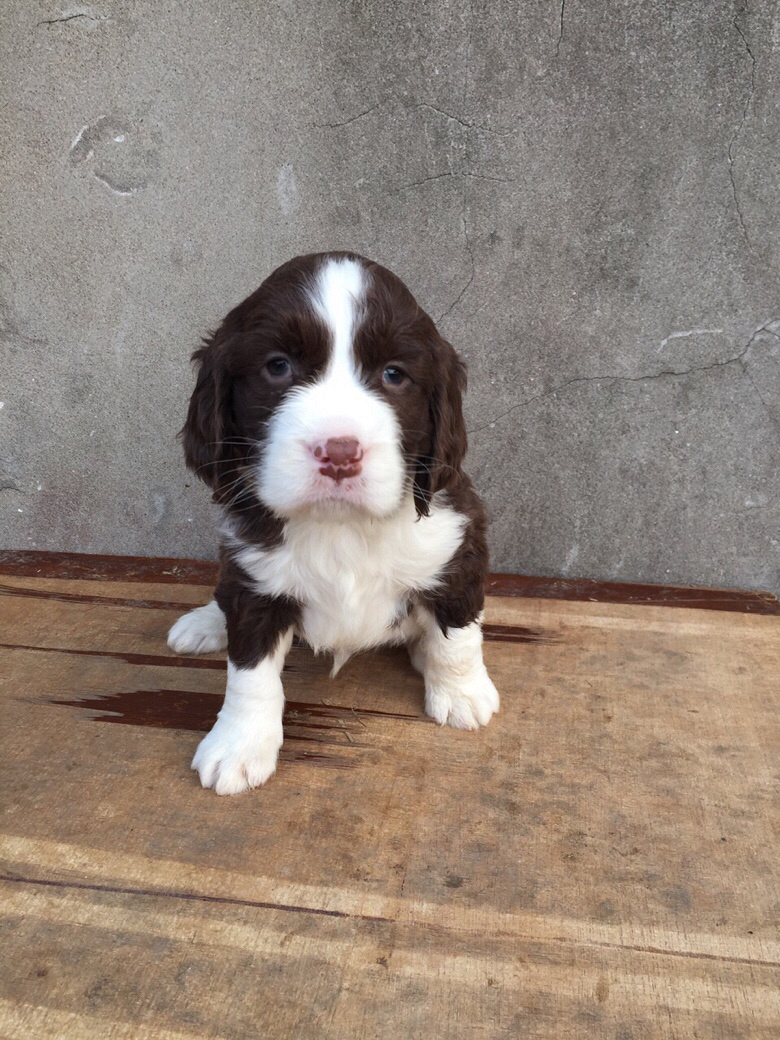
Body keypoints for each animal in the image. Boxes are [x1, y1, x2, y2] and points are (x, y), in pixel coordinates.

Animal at [170, 253, 501, 794]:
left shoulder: (457, 541)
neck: (343, 527)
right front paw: (238, 746)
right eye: (278, 366)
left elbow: (458, 630)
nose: (341, 452)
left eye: (394, 374)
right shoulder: (253, 574)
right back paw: (205, 623)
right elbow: (249, 673)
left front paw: (462, 693)